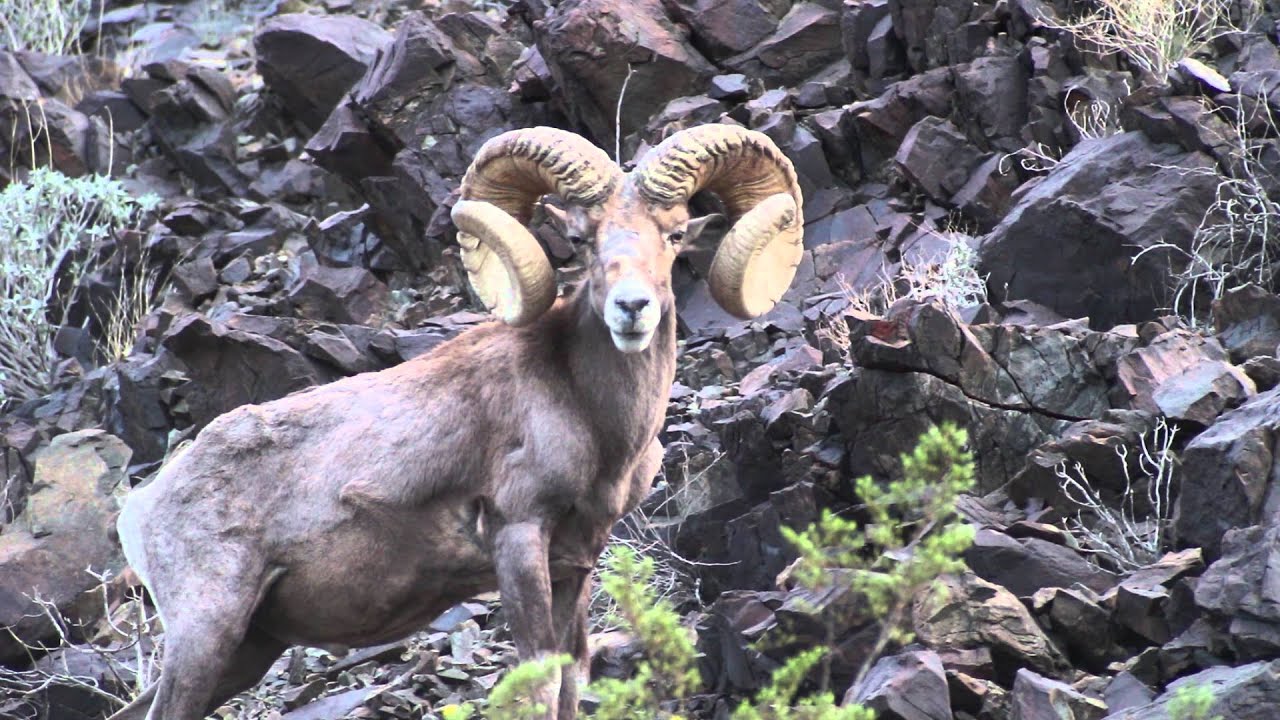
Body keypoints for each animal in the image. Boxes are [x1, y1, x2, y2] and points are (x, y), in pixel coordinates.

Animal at [107, 123, 803, 720]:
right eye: (583, 239)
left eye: (677, 233)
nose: (632, 310)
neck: (592, 418)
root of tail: (141, 505)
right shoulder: (519, 537)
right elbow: (539, 678)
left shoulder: (575, 563)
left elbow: (571, 676)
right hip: (208, 632)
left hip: (248, 649)